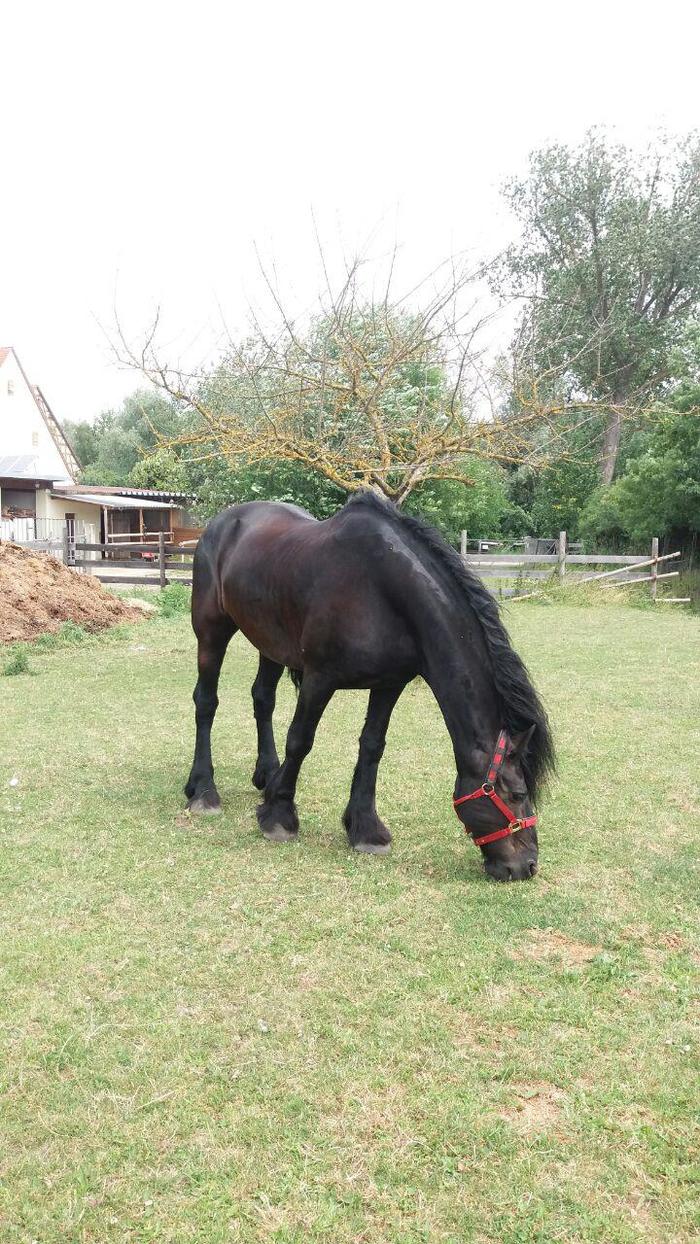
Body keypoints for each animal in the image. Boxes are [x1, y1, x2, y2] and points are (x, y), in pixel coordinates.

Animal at [185, 490, 554, 880]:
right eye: (517, 795)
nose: (526, 865)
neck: (380, 588)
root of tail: (221, 523)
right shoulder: (319, 678)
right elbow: (300, 740)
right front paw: (279, 816)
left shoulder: (390, 684)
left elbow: (372, 746)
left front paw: (365, 828)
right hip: (211, 631)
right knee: (206, 702)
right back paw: (203, 791)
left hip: (269, 641)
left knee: (262, 699)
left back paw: (267, 776)